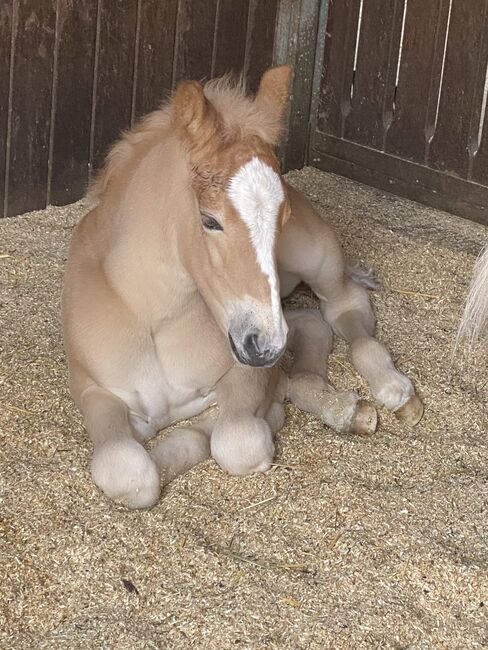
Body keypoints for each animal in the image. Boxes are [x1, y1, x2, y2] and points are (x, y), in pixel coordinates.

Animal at [63, 64, 424, 506]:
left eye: (282, 216)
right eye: (209, 220)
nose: (265, 345)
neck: (152, 317)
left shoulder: (245, 373)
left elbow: (234, 440)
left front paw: (269, 412)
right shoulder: (96, 391)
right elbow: (130, 474)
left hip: (314, 263)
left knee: (344, 310)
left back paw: (394, 390)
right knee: (312, 325)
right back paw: (345, 409)